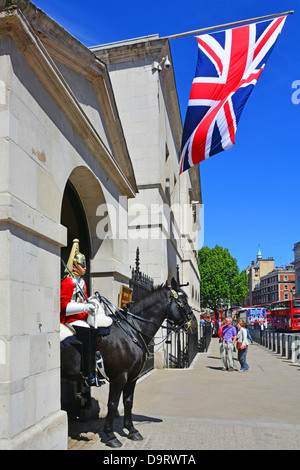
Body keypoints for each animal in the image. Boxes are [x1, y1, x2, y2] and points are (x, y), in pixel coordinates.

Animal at [59, 280, 193, 448]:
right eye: (182, 301)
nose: (193, 323)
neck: (131, 331)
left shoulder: (132, 377)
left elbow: (128, 402)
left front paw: (132, 430)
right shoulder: (119, 377)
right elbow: (112, 404)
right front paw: (111, 436)